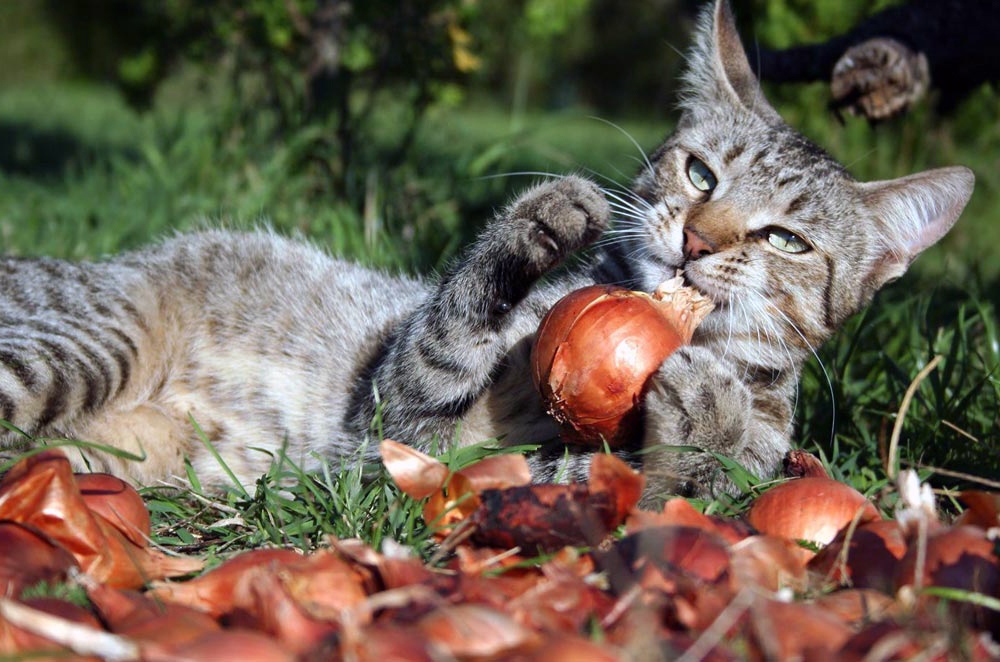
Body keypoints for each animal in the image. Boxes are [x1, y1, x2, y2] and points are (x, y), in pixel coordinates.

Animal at [0, 1, 972, 504]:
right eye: (701, 172)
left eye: (787, 239)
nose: (698, 240)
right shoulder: (397, 423)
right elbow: (447, 330)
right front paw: (538, 222)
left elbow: (681, 485)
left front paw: (704, 419)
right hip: (78, 346)